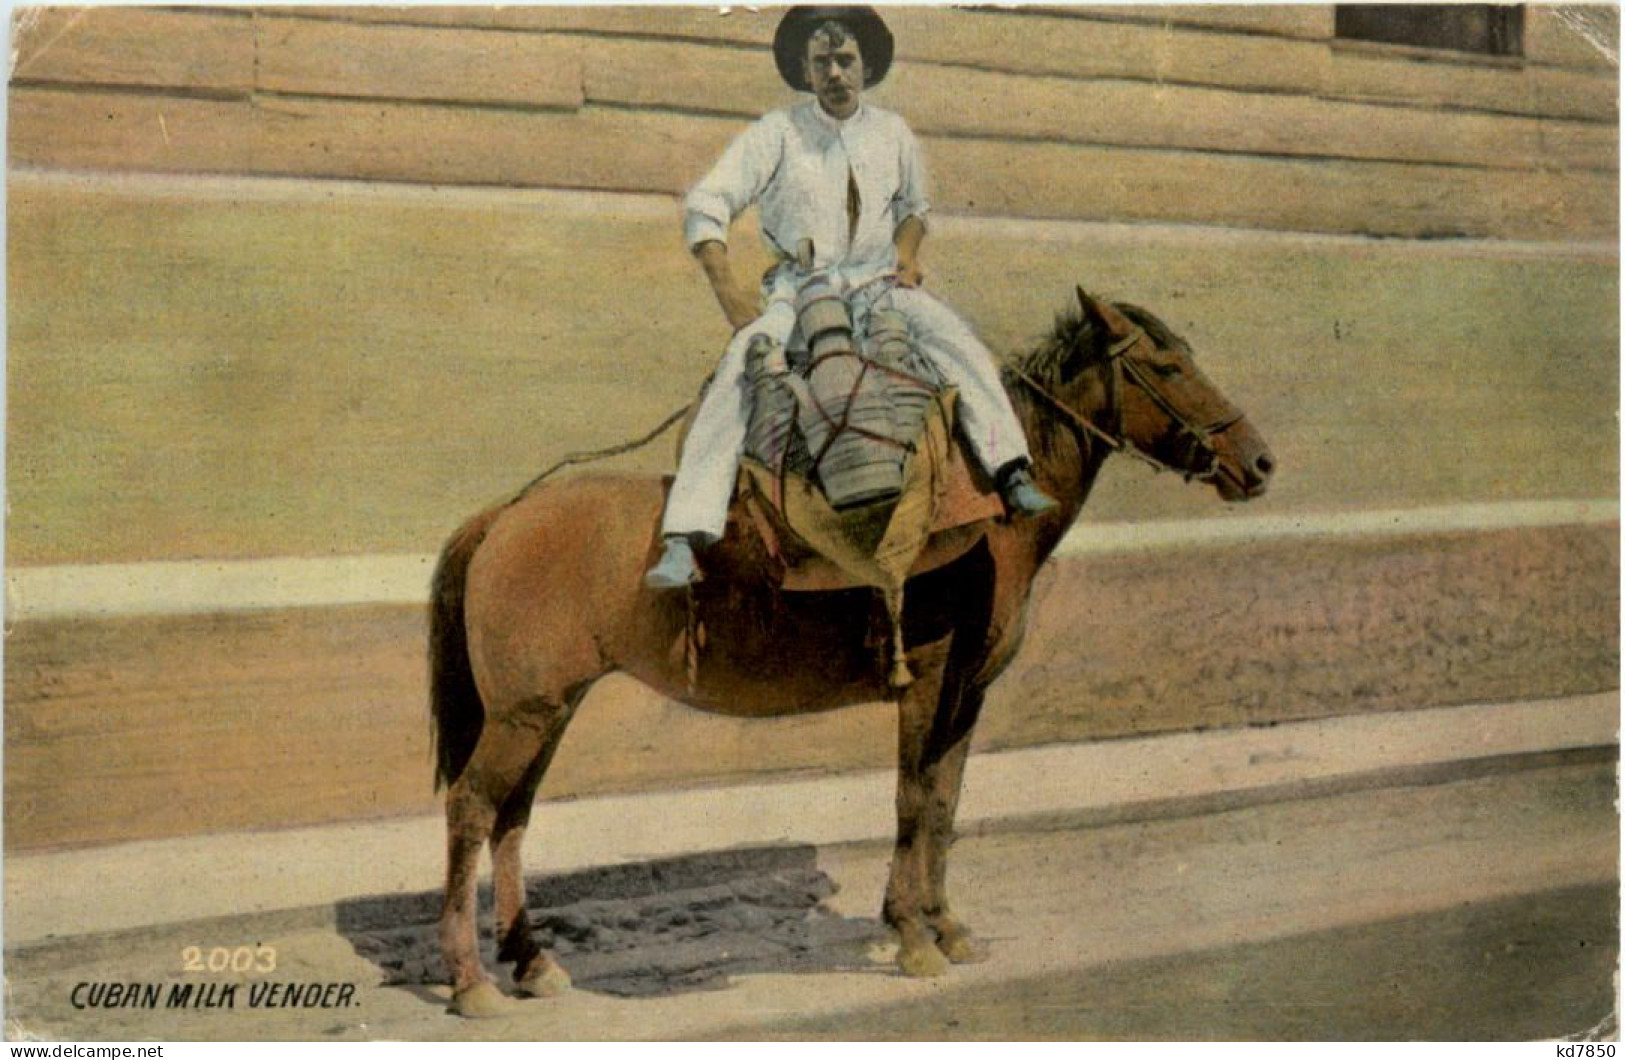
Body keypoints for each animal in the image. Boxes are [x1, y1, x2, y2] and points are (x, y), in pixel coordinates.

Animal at [425, 286, 1274, 1014]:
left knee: (511, 818)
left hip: (548, 711)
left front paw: (945, 927)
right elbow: (910, 801)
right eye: (1167, 367)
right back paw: (471, 981)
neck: (984, 515)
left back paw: (532, 962)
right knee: (471, 809)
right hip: (524, 714)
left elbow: (945, 804)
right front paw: (911, 937)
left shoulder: (965, 696)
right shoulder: (927, 684)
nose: (1259, 462)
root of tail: (504, 515)